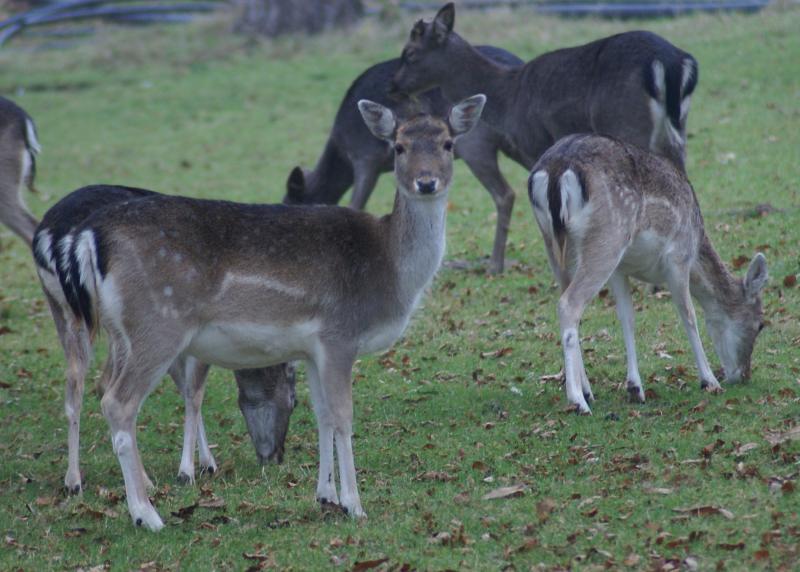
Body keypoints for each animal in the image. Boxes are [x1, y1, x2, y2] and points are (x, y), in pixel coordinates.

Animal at [43, 95, 484, 532]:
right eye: (398, 147)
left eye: (448, 144)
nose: (426, 182)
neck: (389, 271)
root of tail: (87, 237)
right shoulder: (339, 334)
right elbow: (344, 416)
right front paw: (355, 505)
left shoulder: (312, 348)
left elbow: (323, 415)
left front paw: (326, 496)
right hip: (157, 325)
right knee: (118, 402)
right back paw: (145, 514)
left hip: (120, 332)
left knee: (100, 387)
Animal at [286, 47, 524, 274]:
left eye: (290, 202)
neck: (342, 149)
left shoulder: (365, 157)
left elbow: (355, 204)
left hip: (475, 144)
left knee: (504, 193)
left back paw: (495, 265)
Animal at [394, 2, 700, 172]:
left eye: (409, 53)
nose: (394, 86)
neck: (507, 99)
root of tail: (672, 61)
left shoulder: (535, 143)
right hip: (677, 131)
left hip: (625, 121)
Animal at [528, 136, 764, 414]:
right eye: (760, 324)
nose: (744, 375)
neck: (696, 245)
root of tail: (555, 171)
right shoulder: (678, 256)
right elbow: (689, 315)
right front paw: (709, 381)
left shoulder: (620, 269)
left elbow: (627, 318)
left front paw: (635, 388)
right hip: (607, 239)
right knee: (568, 303)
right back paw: (578, 401)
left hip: (556, 246)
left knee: (572, 309)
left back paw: (587, 391)